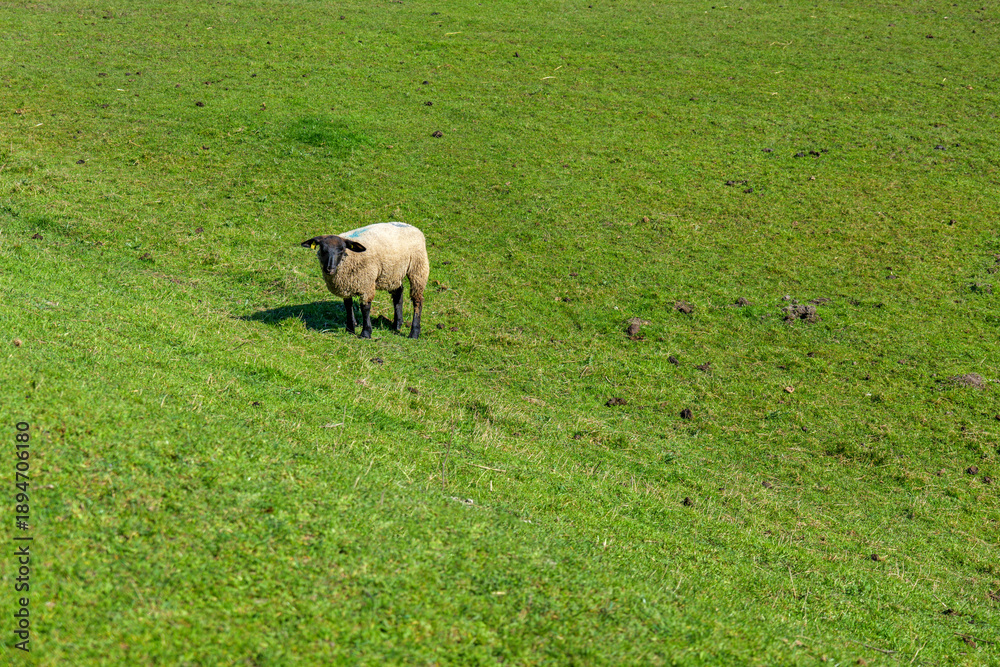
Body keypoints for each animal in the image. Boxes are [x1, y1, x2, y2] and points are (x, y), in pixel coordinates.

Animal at [300, 222, 429, 339]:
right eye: (322, 250)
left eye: (341, 250)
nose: (329, 269)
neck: (349, 257)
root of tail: (411, 226)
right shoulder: (346, 285)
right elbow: (348, 306)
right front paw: (350, 329)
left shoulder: (366, 283)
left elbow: (365, 307)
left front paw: (366, 333)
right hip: (393, 272)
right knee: (398, 293)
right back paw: (397, 324)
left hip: (418, 267)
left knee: (417, 300)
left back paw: (414, 333)